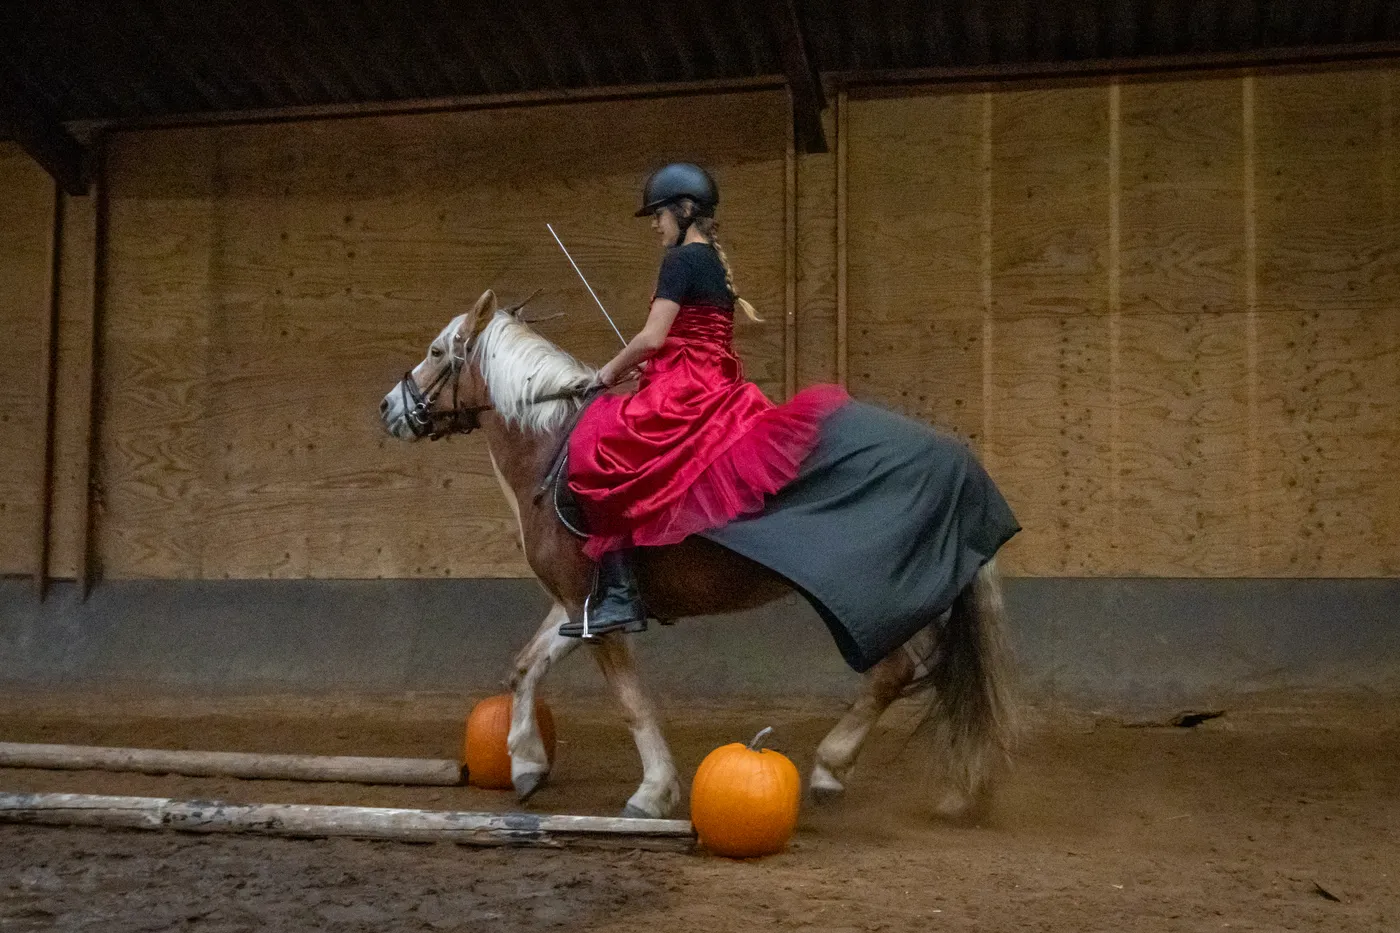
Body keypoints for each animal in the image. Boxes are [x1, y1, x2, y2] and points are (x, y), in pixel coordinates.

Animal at [379, 289, 1016, 820]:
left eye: (436, 351)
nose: (388, 407)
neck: (551, 445)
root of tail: (955, 456)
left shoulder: (594, 608)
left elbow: (632, 702)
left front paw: (653, 791)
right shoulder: (576, 604)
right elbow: (524, 667)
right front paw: (528, 763)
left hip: (886, 596)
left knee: (898, 671)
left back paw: (834, 767)